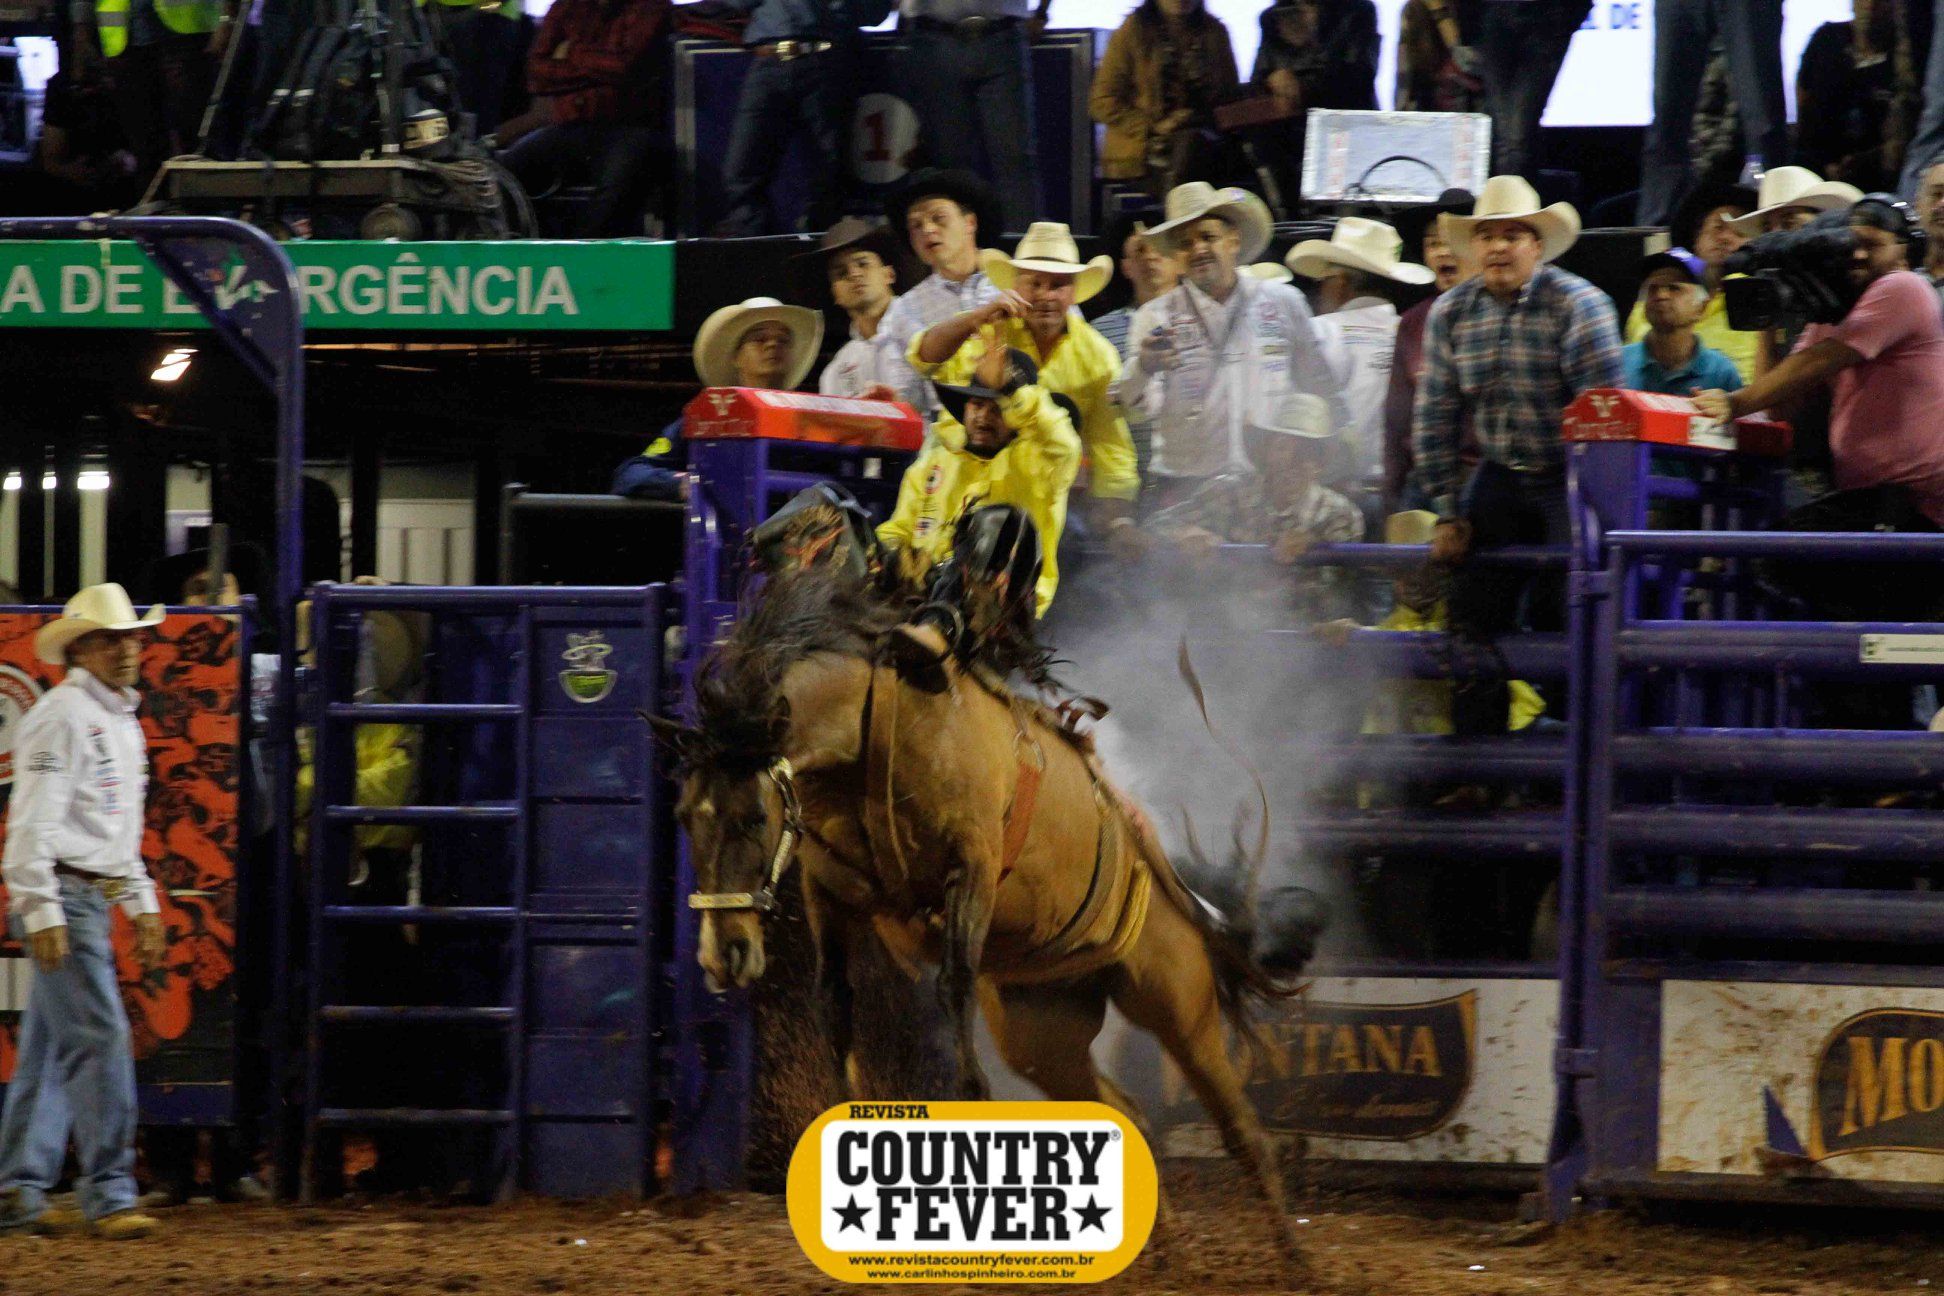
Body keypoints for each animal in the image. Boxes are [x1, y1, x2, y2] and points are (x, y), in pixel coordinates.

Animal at [652, 568, 1309, 1267]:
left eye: (754, 817)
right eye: (683, 815)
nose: (722, 953)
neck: (870, 725)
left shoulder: (972, 867)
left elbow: (954, 987)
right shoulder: (825, 888)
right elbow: (835, 1000)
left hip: (1177, 1002)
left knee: (1240, 1129)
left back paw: (1293, 1260)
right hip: (1043, 1033)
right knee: (1125, 1111)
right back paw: (1165, 1253)